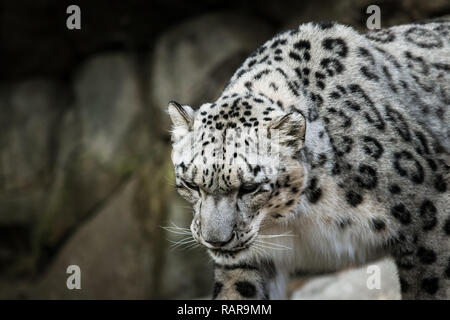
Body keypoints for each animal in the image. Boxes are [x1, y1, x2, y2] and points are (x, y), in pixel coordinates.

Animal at [167, 21, 448, 300]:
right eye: (191, 184)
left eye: (250, 187)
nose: (216, 240)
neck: (298, 218)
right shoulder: (251, 258)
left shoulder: (429, 214)